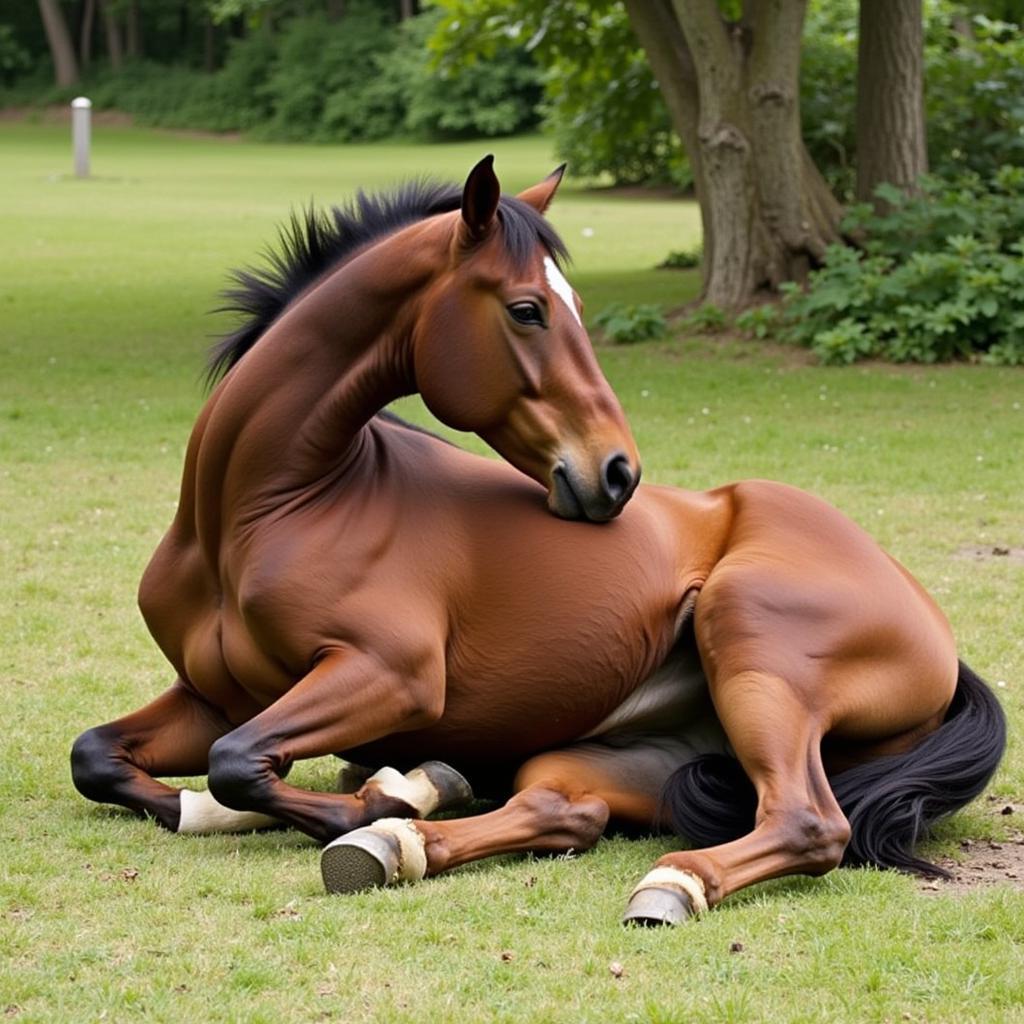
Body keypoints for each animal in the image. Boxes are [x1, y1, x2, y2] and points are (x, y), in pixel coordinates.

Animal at [74, 157, 1007, 929]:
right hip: (617, 752)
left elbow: (238, 762)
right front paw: (288, 805)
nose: (618, 473)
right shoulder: (215, 694)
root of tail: (935, 630)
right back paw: (408, 833)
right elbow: (100, 757)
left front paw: (375, 798)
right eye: (528, 309)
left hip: (752, 647)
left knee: (807, 823)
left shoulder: (390, 678)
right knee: (566, 812)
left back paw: (661, 883)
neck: (255, 515)